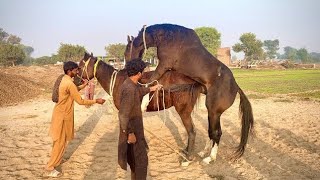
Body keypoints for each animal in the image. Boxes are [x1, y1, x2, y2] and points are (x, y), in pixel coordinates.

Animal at [125, 23, 255, 164]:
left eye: (126, 52)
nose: (127, 70)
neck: (168, 37)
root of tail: (236, 87)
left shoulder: (164, 65)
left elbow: (150, 81)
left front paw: (143, 104)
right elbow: (154, 81)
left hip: (214, 111)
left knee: (216, 133)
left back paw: (209, 158)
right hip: (212, 113)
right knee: (211, 131)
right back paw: (203, 152)